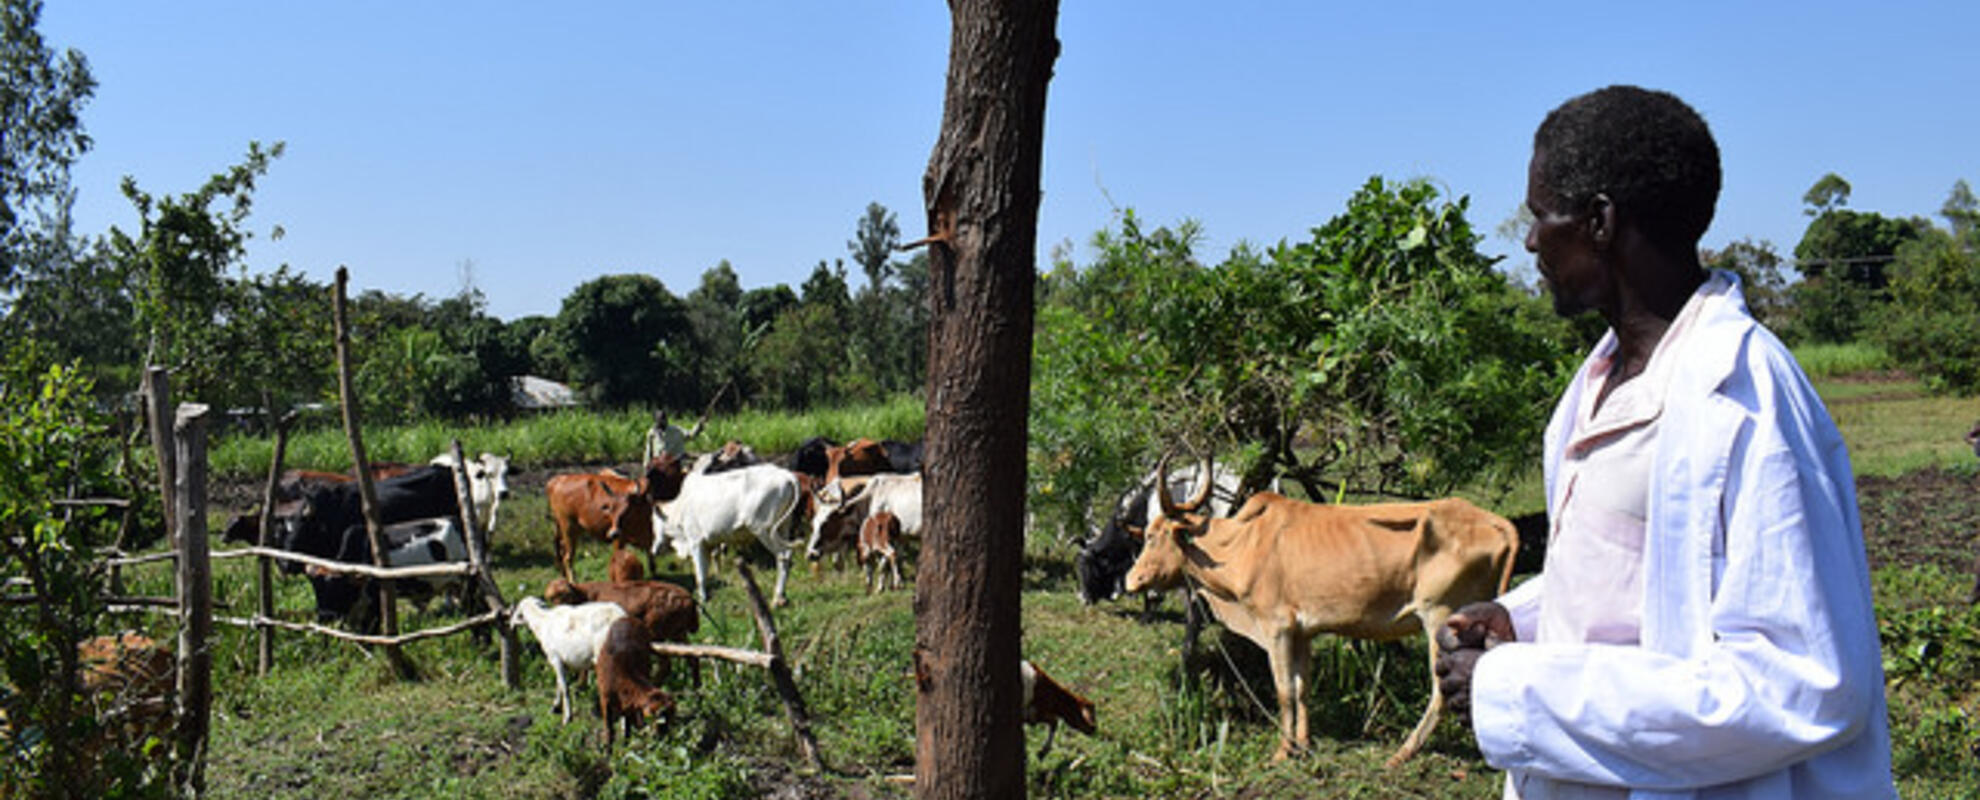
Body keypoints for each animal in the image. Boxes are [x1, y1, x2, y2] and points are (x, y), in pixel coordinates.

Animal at [648, 463, 803, 607]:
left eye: (654, 522)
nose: (654, 549)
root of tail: (786, 475)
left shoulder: (696, 542)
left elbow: (700, 575)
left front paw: (702, 600)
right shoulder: (709, 543)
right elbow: (709, 567)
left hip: (763, 530)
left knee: (783, 554)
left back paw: (777, 599)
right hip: (782, 528)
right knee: (787, 555)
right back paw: (782, 598)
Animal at [1123, 457, 1518, 766]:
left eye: (1153, 536)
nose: (1131, 580)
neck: (1241, 545)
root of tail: (1497, 522)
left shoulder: (1277, 629)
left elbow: (1284, 690)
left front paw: (1283, 751)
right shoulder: (1302, 632)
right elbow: (1302, 688)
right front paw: (1303, 742)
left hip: (1440, 618)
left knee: (1441, 691)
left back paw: (1403, 753)